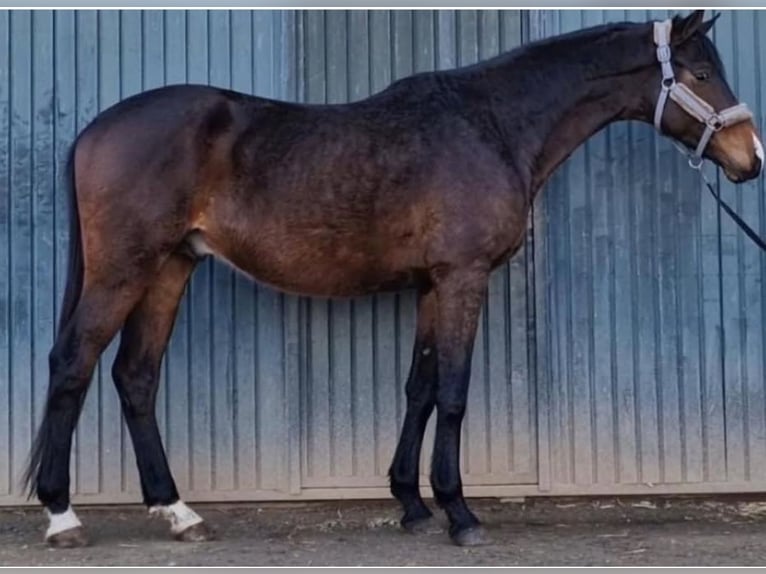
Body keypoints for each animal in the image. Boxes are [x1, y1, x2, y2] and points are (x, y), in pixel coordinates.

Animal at [21, 10, 762, 548]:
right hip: (124, 269)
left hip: (171, 267)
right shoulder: (463, 279)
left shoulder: (432, 285)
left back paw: (177, 512)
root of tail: (96, 130)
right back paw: (63, 517)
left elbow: (420, 388)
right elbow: (454, 393)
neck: (491, 125)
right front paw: (460, 514)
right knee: (72, 365)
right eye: (701, 70)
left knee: (135, 378)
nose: (749, 158)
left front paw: (410, 502)